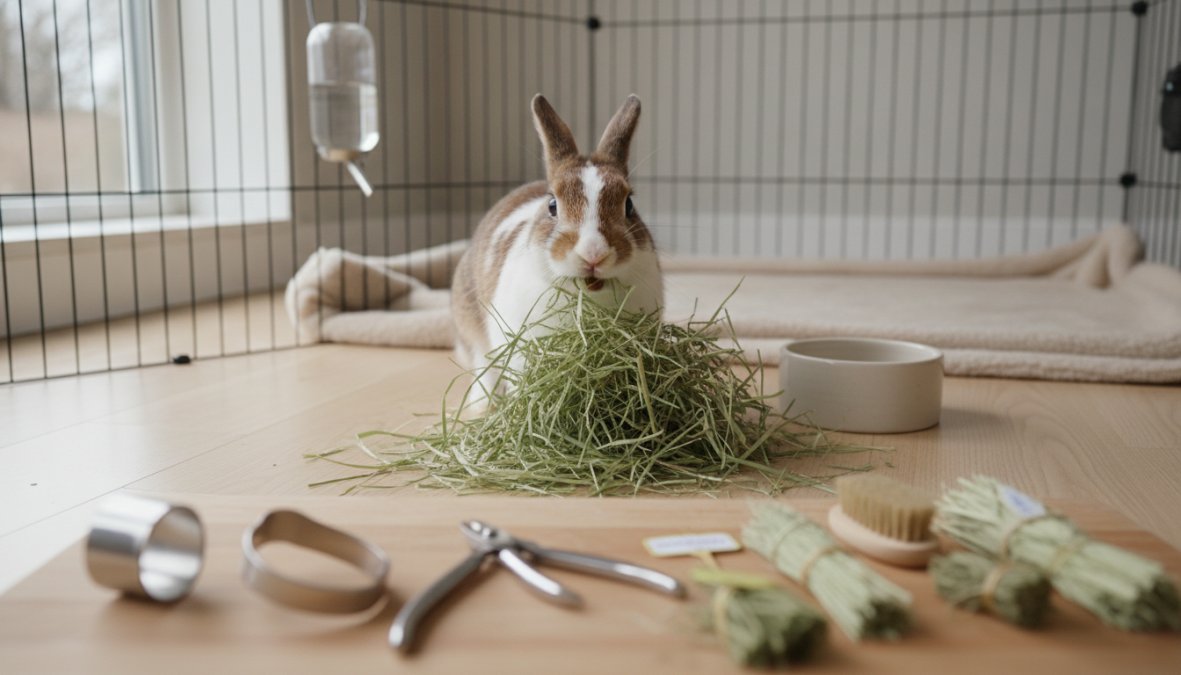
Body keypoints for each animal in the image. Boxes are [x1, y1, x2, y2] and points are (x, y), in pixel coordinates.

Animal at [451, 94, 663, 406]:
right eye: (552, 205)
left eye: (629, 205)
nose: (593, 253)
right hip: (470, 325)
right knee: (483, 367)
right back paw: (483, 404)